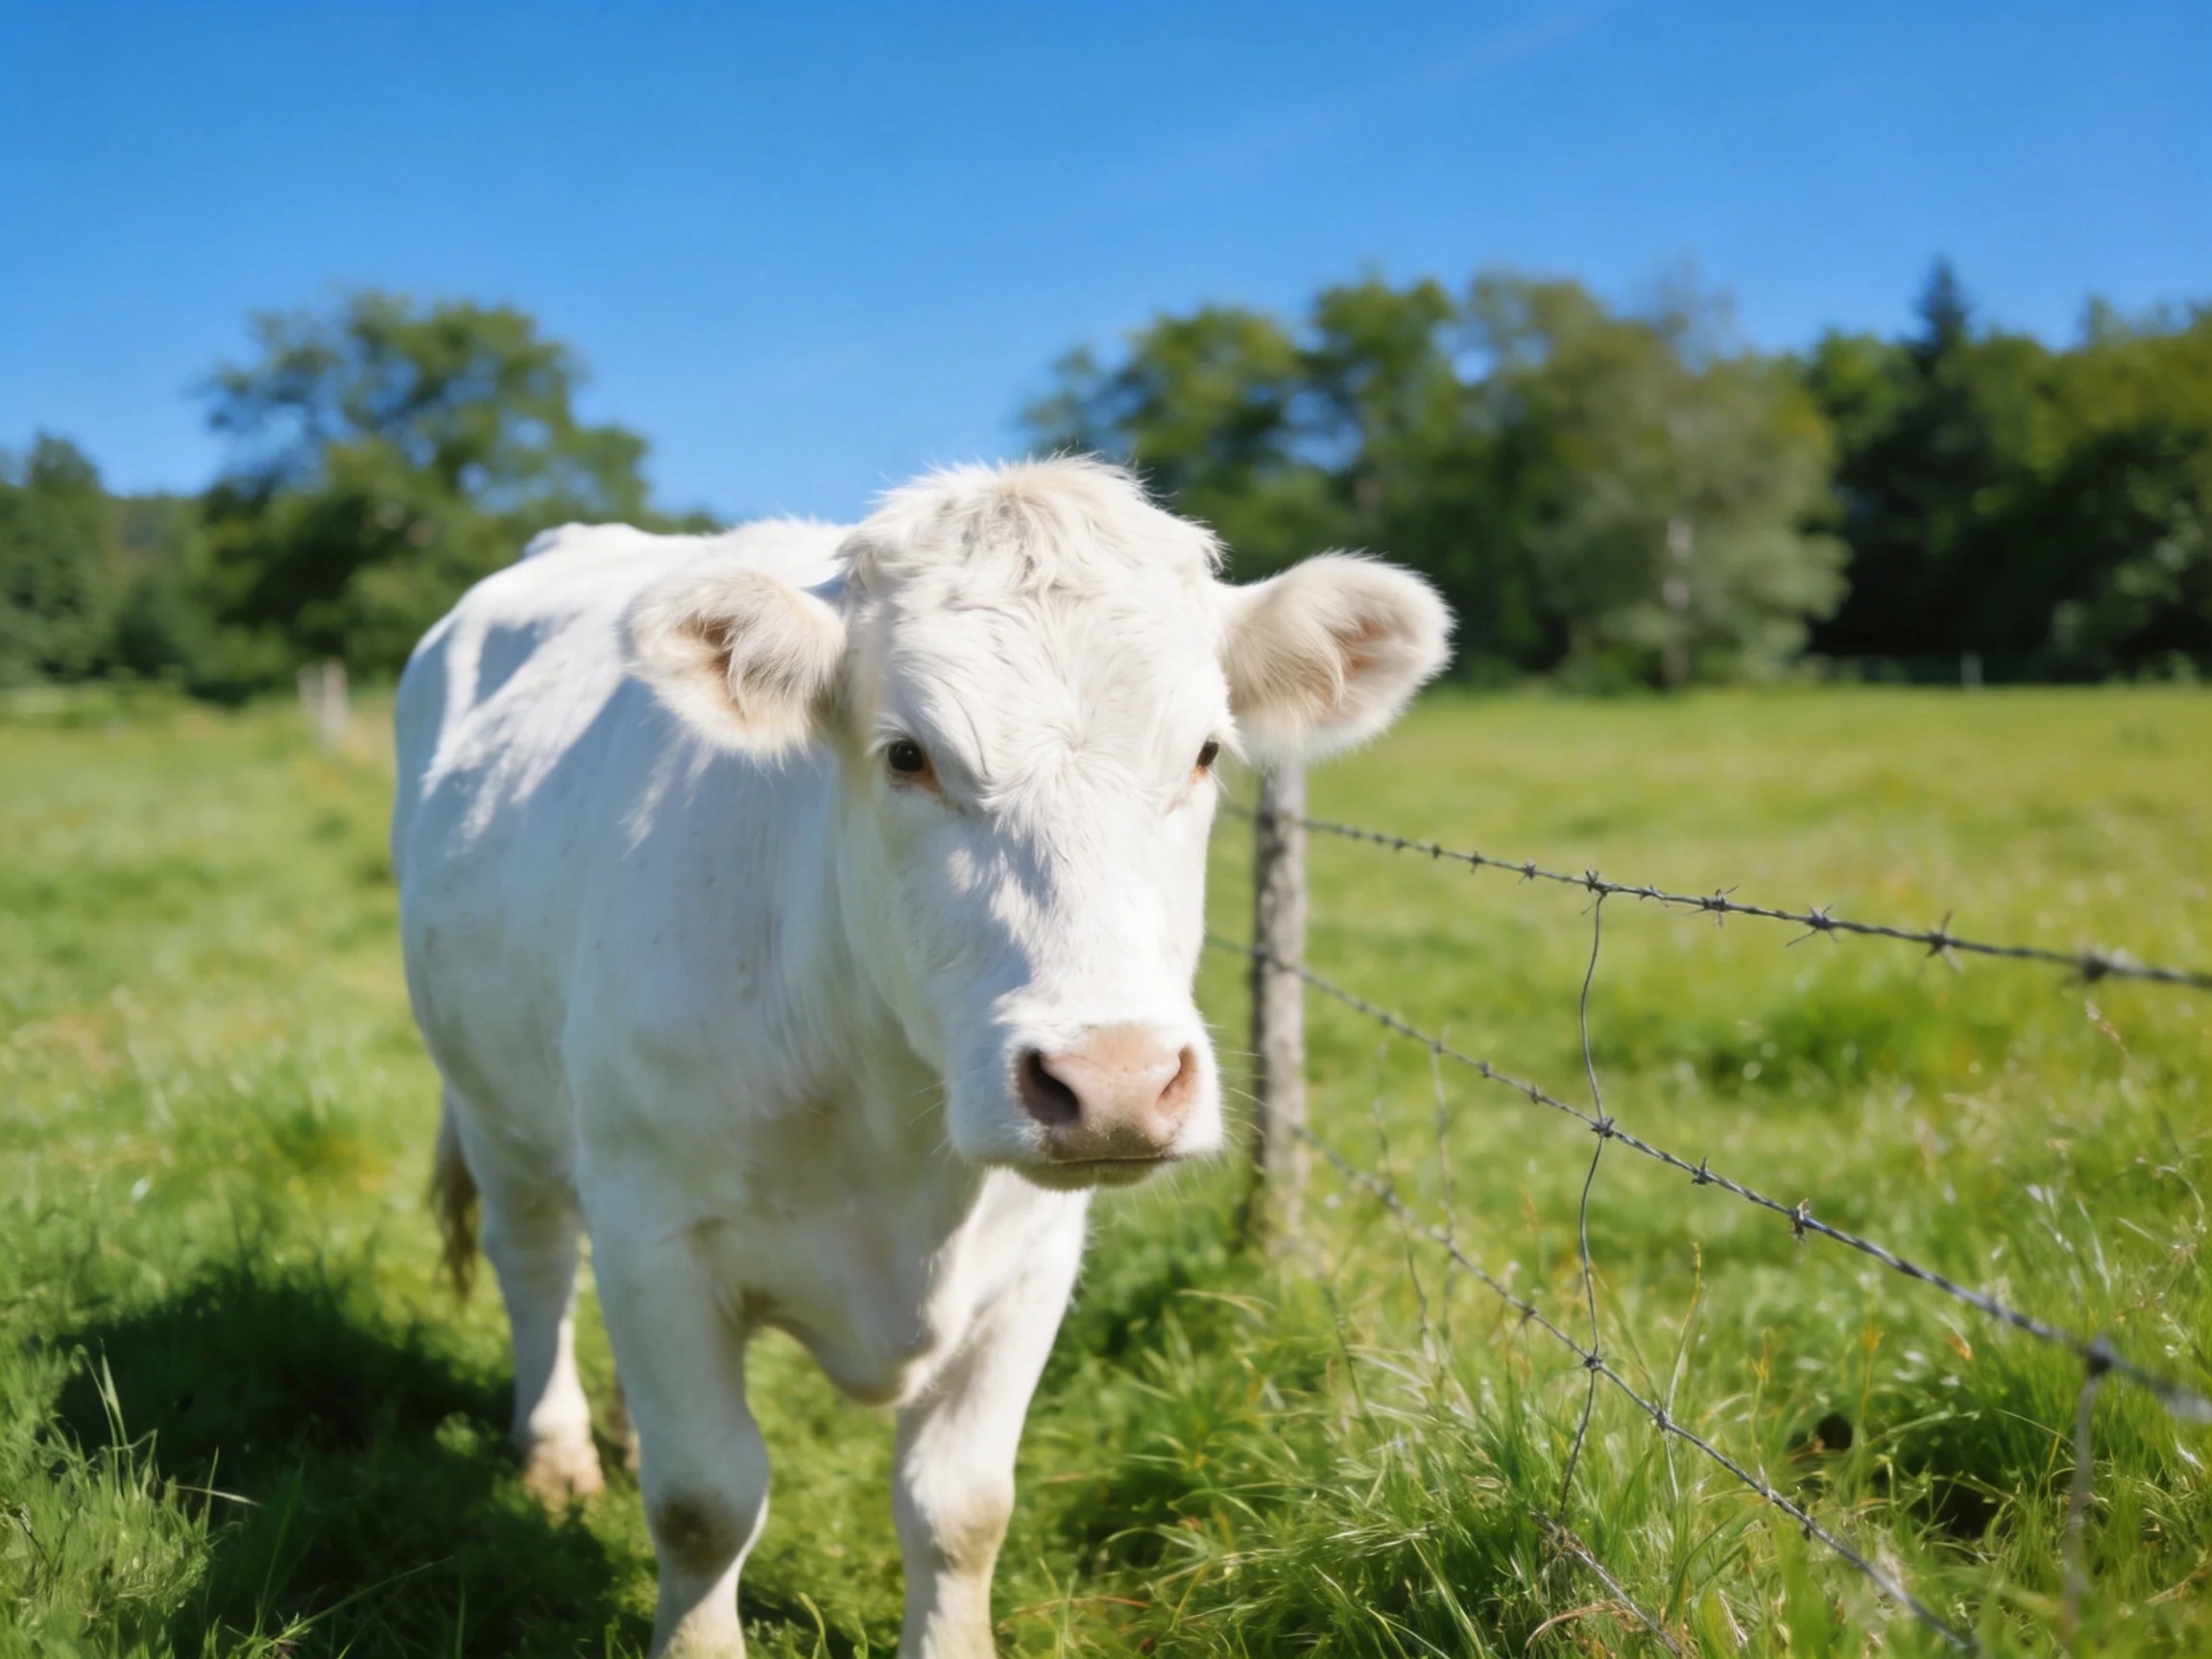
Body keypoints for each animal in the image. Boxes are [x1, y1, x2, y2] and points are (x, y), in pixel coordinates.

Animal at [391, 458, 1449, 1656]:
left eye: (1206, 752)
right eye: (908, 755)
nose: (1117, 1082)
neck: (896, 1131)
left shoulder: (1034, 1260)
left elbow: (962, 1506)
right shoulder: (657, 1233)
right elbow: (705, 1503)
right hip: (497, 1112)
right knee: (536, 1268)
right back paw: (558, 1453)